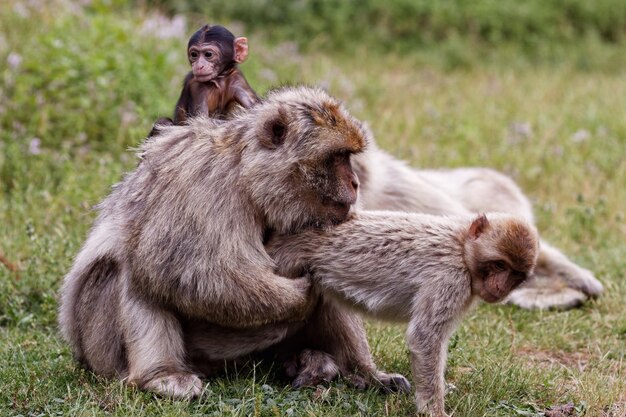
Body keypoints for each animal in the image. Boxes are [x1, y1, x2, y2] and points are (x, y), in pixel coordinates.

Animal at [266, 211, 536, 416]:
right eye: (499, 265)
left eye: (514, 274)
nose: (500, 287)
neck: (462, 248)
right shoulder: (450, 279)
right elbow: (424, 338)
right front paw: (433, 410)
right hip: (283, 270)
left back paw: (367, 376)